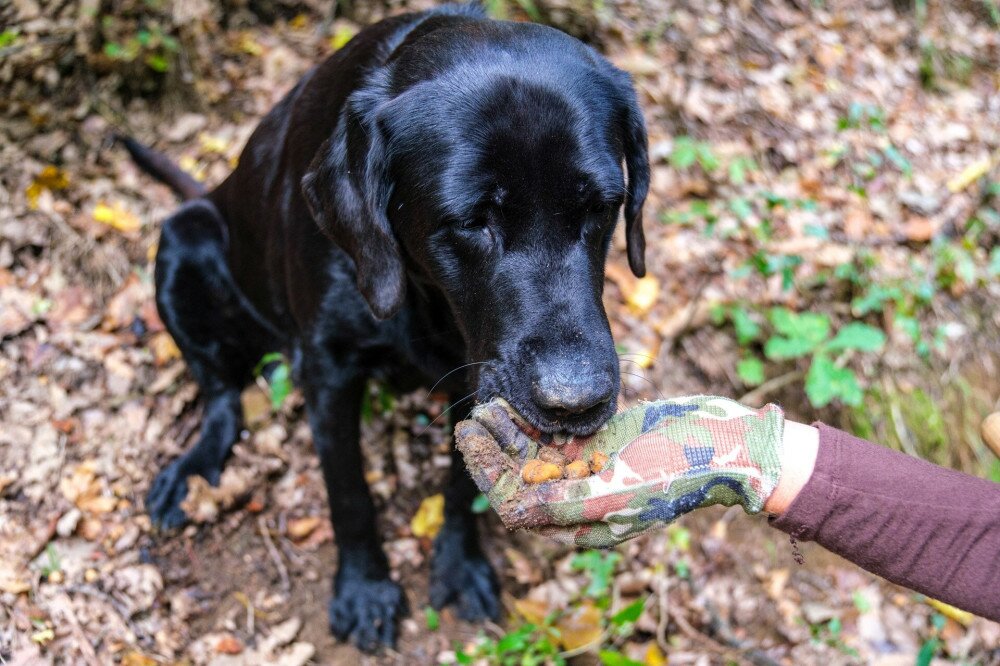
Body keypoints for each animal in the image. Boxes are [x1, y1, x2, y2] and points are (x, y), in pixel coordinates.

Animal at [123, 2, 648, 652]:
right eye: (472, 220)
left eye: (601, 205)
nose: (575, 401)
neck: (425, 302)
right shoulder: (329, 371)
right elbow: (349, 492)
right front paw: (364, 589)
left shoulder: (473, 378)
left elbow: (462, 483)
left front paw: (459, 564)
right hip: (184, 239)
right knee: (221, 392)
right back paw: (194, 466)